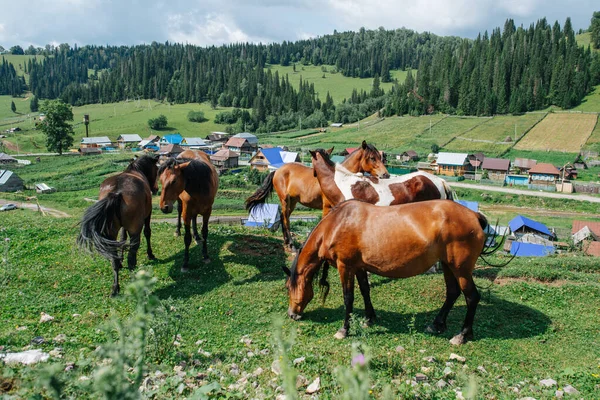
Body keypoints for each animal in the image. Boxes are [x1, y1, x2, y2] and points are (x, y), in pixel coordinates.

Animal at [78, 155, 161, 296]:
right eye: (156, 169)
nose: (156, 189)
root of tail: (117, 192)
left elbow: (122, 239)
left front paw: (120, 259)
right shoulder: (147, 215)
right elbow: (147, 232)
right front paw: (150, 254)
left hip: (111, 232)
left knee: (114, 259)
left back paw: (115, 287)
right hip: (135, 229)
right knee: (132, 257)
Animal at [244, 140, 390, 247]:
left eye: (381, 157)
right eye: (372, 158)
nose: (386, 175)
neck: (337, 178)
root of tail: (277, 171)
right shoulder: (327, 207)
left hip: (293, 201)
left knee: (283, 216)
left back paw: (286, 241)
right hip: (285, 199)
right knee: (285, 218)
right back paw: (291, 243)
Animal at [284, 200, 490, 344]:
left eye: (287, 287)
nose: (291, 314)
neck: (336, 224)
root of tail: (474, 215)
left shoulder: (346, 267)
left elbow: (348, 298)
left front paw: (344, 329)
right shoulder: (359, 267)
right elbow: (365, 291)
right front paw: (369, 318)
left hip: (461, 269)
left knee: (472, 297)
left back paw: (462, 335)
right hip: (448, 265)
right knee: (452, 293)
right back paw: (436, 324)